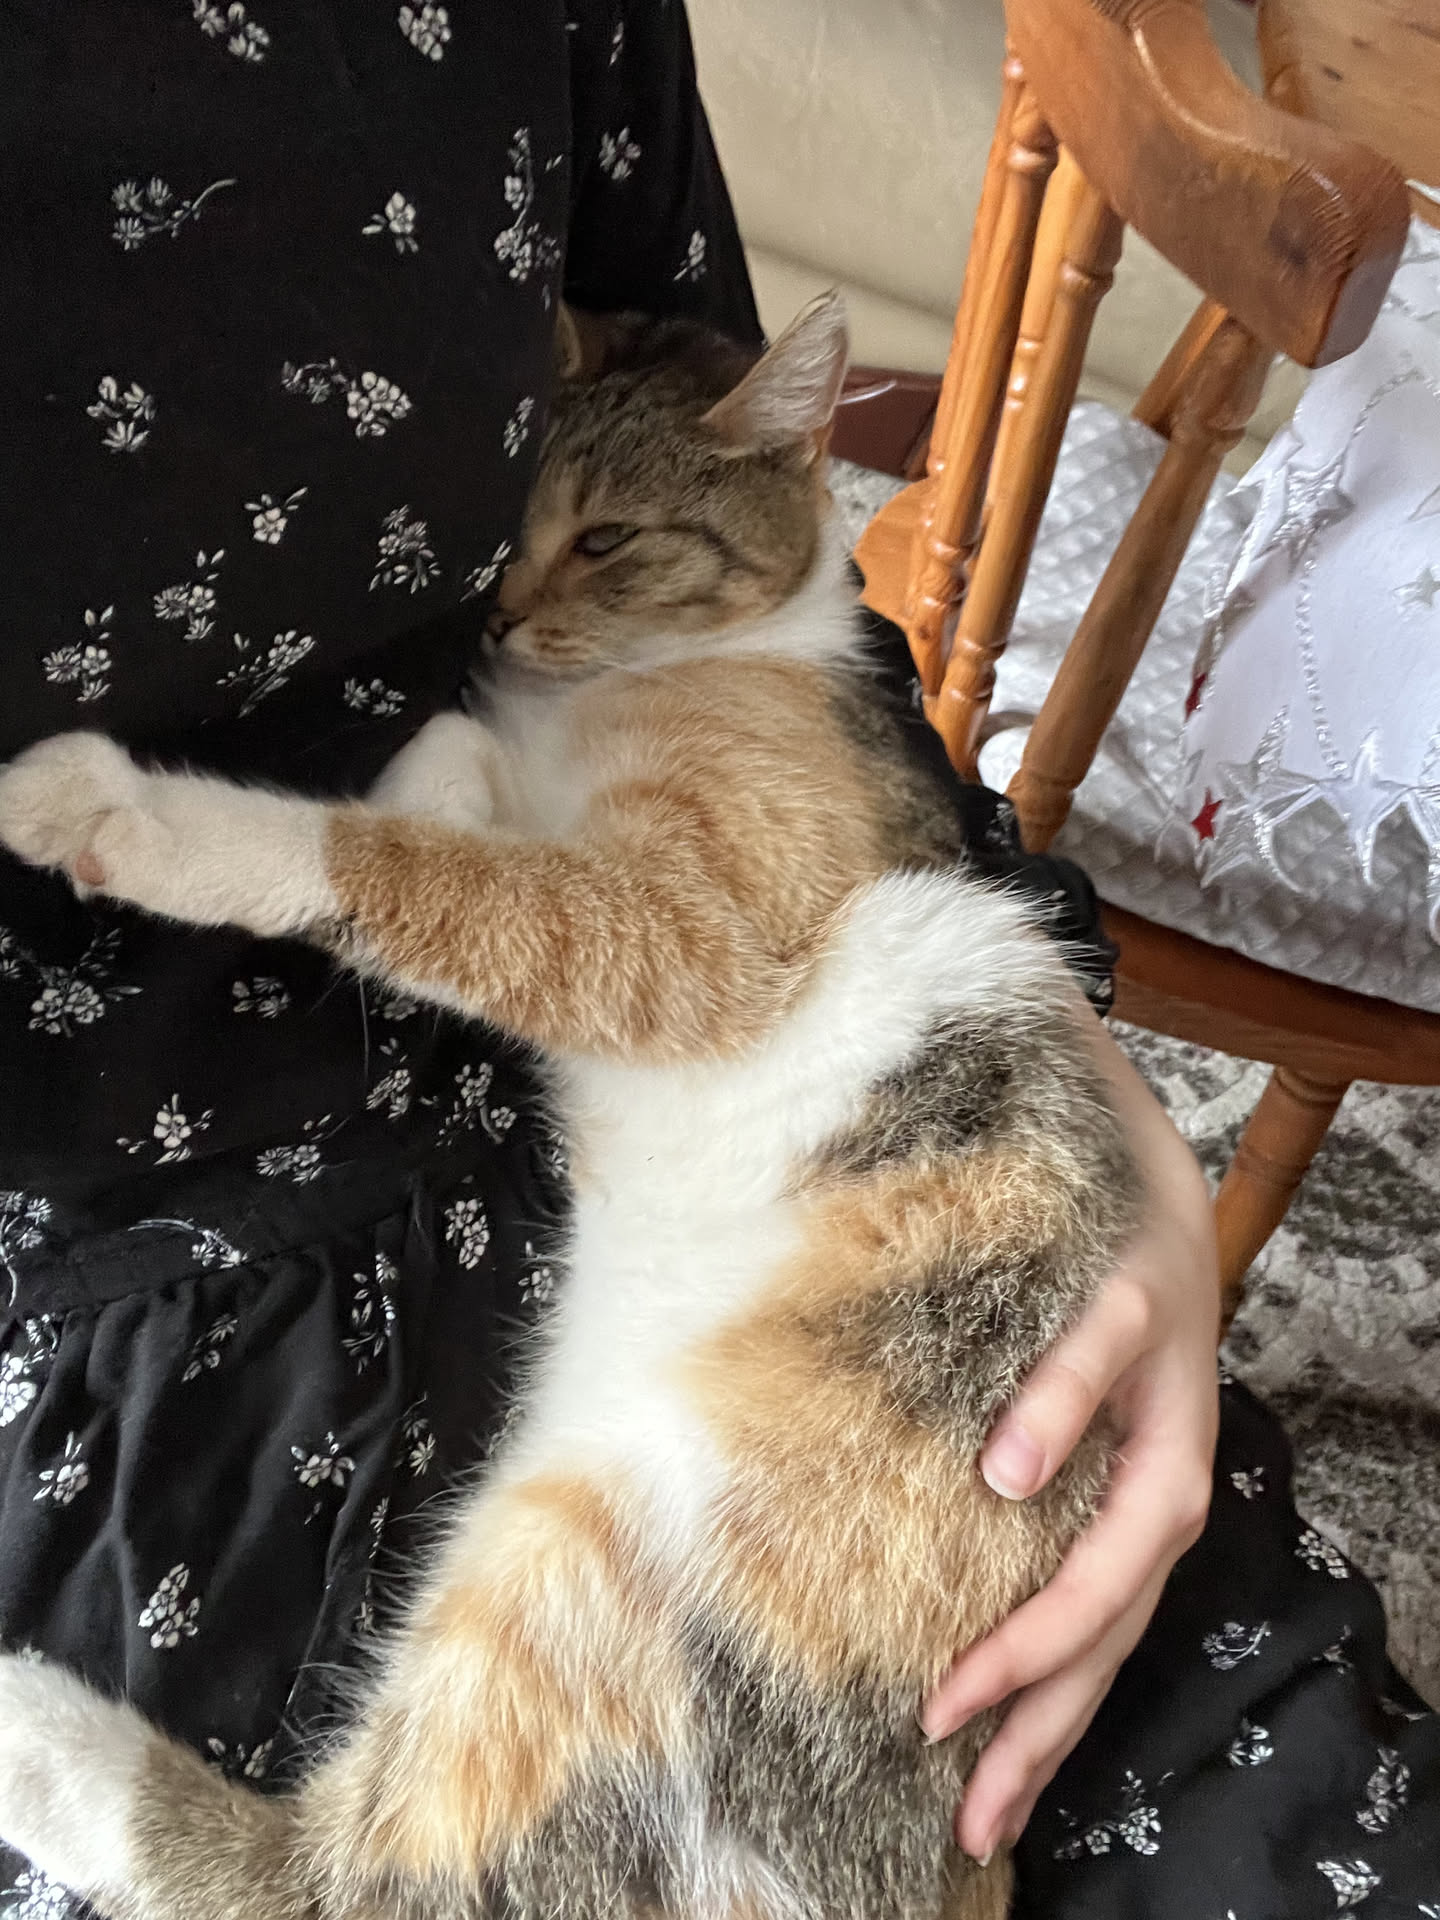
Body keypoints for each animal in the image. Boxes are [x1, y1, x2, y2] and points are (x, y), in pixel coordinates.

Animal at [0, 292, 1140, 1920]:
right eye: (508, 530)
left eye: (606, 537)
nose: (490, 624)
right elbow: (461, 789)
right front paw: (444, 756)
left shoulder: (692, 930)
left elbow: (433, 877)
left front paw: (142, 816)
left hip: (591, 1578)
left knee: (335, 1884)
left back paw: (31, 1721)